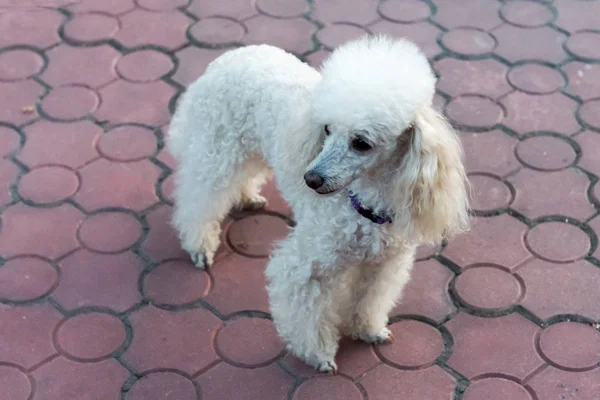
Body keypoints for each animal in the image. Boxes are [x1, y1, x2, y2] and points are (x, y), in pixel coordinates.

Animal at [168, 34, 468, 372]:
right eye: (326, 129)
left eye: (361, 143)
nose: (310, 179)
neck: (365, 207)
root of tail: (231, 55)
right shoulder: (307, 267)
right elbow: (307, 312)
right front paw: (319, 354)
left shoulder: (383, 264)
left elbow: (370, 298)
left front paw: (367, 329)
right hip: (218, 149)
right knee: (200, 196)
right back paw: (200, 244)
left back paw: (246, 197)